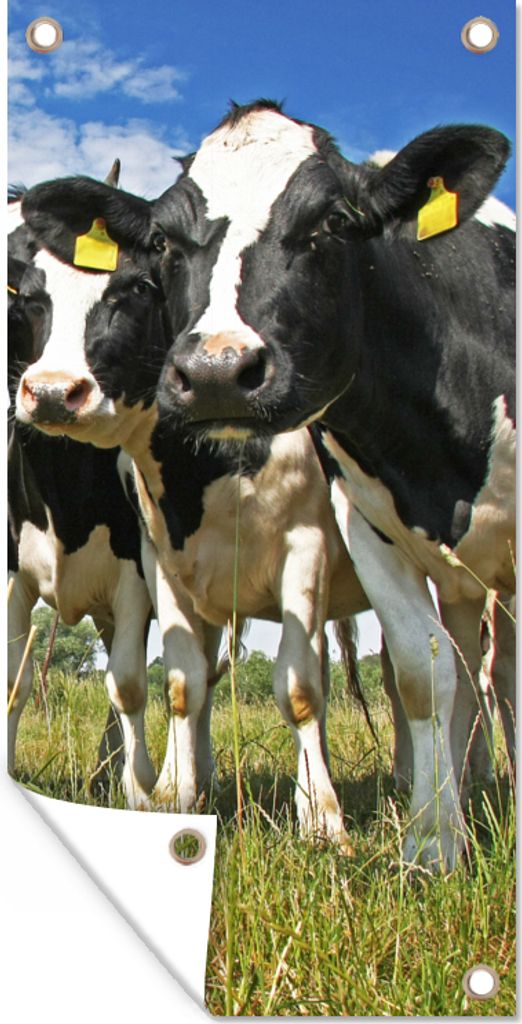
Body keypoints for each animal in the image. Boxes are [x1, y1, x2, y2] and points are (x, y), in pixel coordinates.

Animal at [137, 101, 515, 870]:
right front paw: (433, 844)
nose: (218, 372)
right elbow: (421, 673)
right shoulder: (368, 530)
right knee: (465, 669)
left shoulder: (310, 541)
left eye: (335, 222)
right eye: (162, 240)